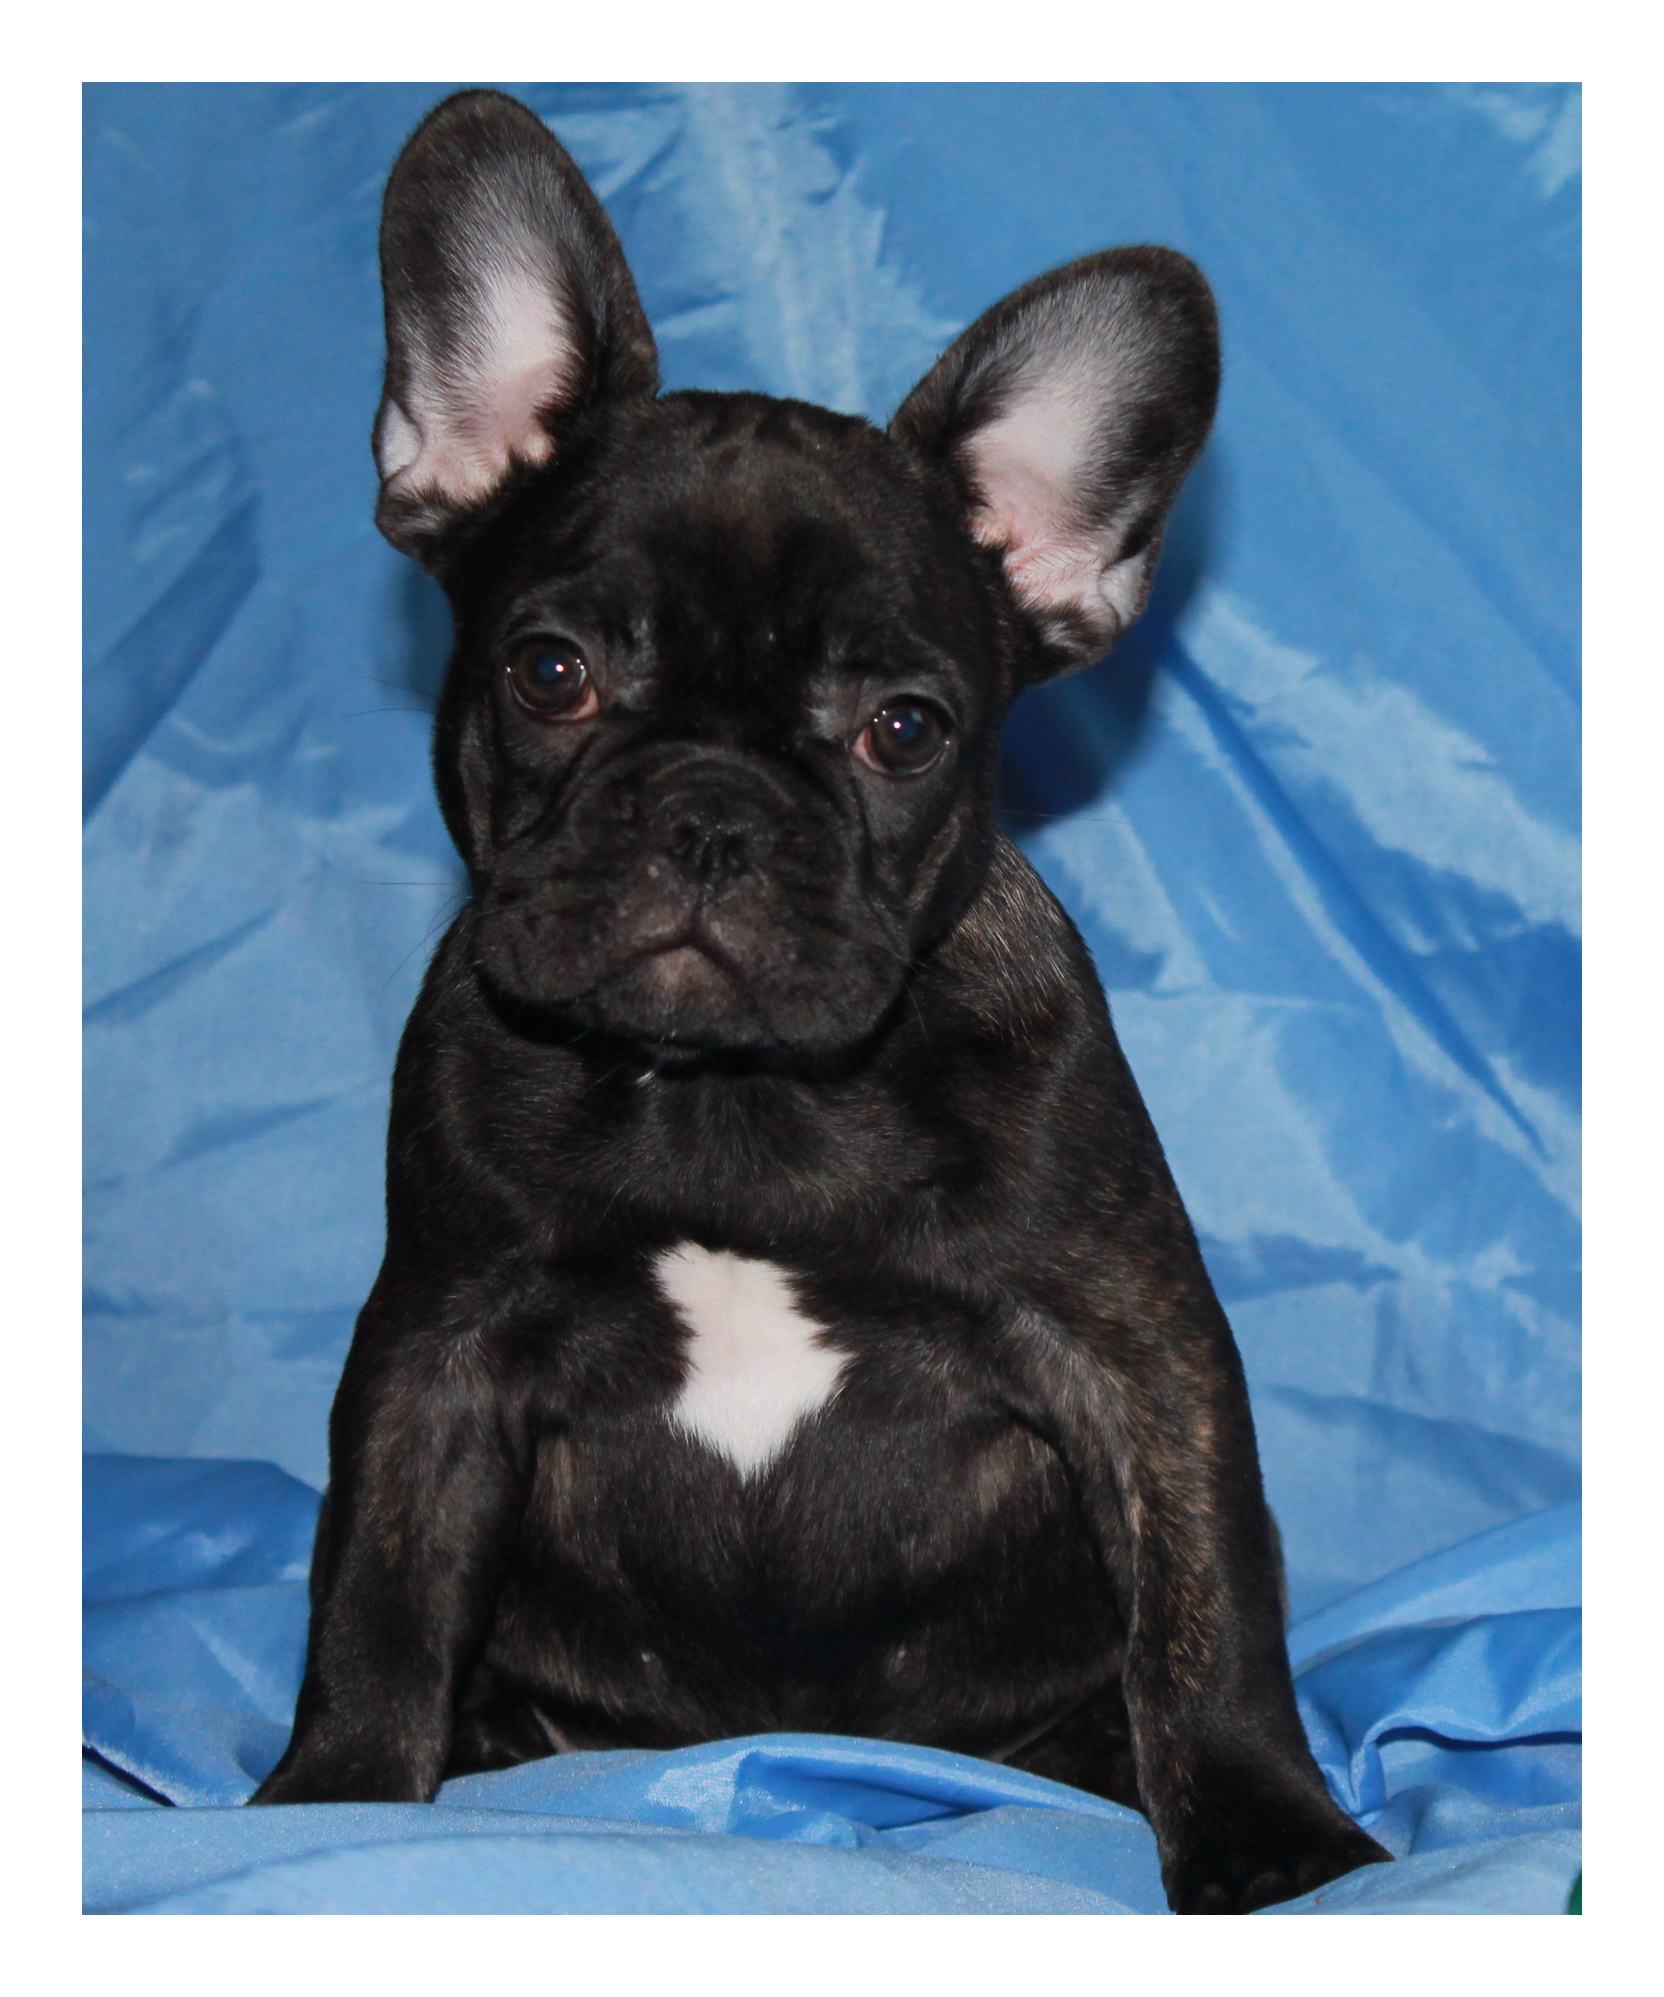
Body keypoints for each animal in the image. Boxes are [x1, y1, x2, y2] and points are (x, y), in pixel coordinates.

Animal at [251, 89, 1391, 1914]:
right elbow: (377, 1591)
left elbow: (1206, 1613)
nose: (714, 811)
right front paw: (339, 1796)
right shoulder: (435, 1348)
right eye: (550, 672)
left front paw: (1270, 1834)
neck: (735, 1092)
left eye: (903, 729)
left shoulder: (1134, 1353)